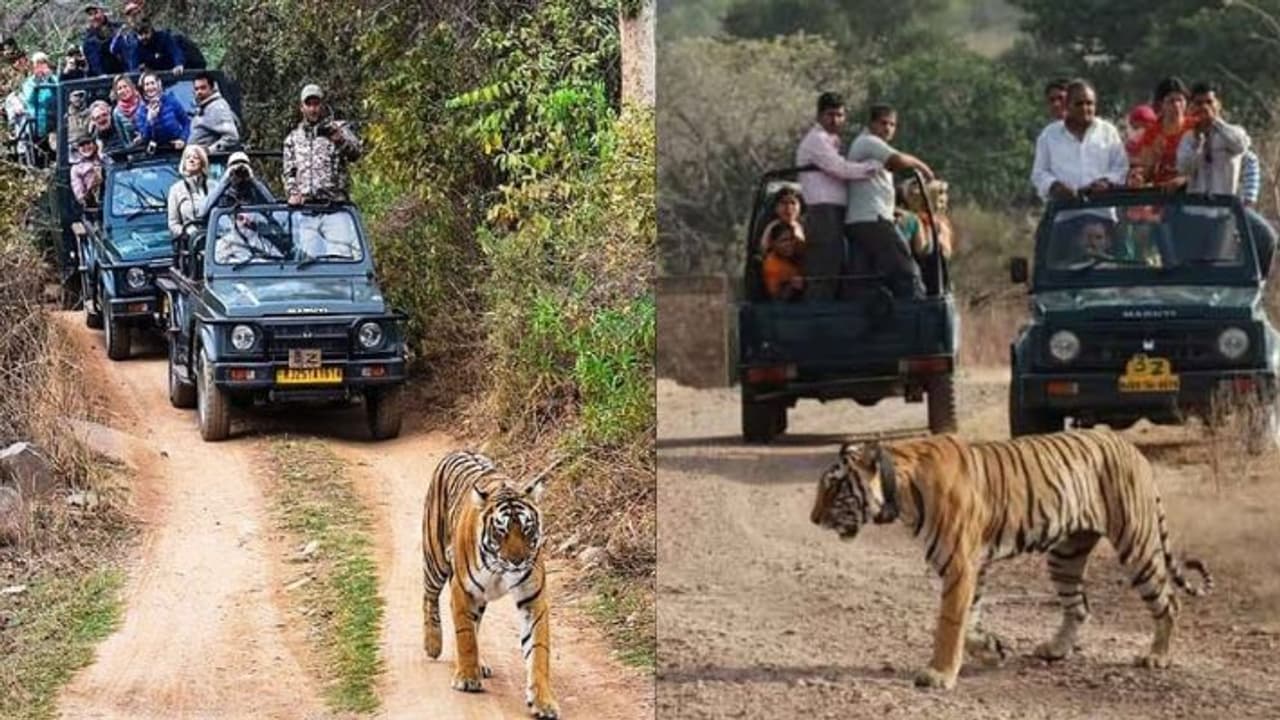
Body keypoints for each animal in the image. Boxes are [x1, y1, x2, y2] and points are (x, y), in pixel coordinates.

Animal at [422, 450, 559, 719]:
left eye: (527, 529)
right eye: (501, 531)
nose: (517, 561)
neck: (500, 569)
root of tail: (459, 451)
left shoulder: (533, 599)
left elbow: (538, 650)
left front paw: (543, 702)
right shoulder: (463, 590)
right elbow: (465, 636)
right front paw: (467, 678)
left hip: (478, 598)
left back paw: (479, 663)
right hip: (435, 559)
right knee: (428, 597)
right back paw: (433, 643)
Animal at [810, 429, 1211, 690]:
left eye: (834, 487)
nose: (813, 519)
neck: (900, 489)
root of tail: (1131, 447)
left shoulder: (960, 564)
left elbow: (949, 623)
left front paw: (939, 674)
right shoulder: (974, 566)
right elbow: (969, 621)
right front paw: (991, 649)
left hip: (1136, 543)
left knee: (1169, 601)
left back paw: (1157, 656)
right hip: (1065, 554)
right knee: (1079, 606)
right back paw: (1055, 649)